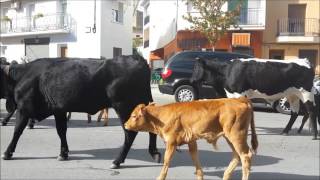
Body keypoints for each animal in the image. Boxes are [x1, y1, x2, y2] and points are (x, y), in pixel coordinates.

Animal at [0, 55, 160, 168]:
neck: (21, 75)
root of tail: (137, 59)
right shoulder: (59, 110)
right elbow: (61, 131)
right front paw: (63, 153)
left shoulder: (23, 108)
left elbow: (17, 131)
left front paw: (7, 152)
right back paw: (154, 152)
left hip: (124, 106)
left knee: (130, 133)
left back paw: (117, 161)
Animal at [124, 97, 258, 180]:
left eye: (134, 116)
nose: (125, 124)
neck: (161, 117)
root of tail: (239, 99)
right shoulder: (191, 141)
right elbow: (195, 158)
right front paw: (200, 175)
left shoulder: (171, 142)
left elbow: (166, 161)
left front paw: (160, 177)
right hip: (229, 137)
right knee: (237, 156)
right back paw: (226, 175)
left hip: (236, 135)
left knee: (245, 156)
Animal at [190, 57, 318, 139]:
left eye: (197, 68)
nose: (191, 80)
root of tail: (305, 61)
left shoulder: (239, 94)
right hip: (293, 95)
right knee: (295, 113)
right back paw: (285, 131)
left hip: (306, 93)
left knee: (312, 111)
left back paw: (314, 135)